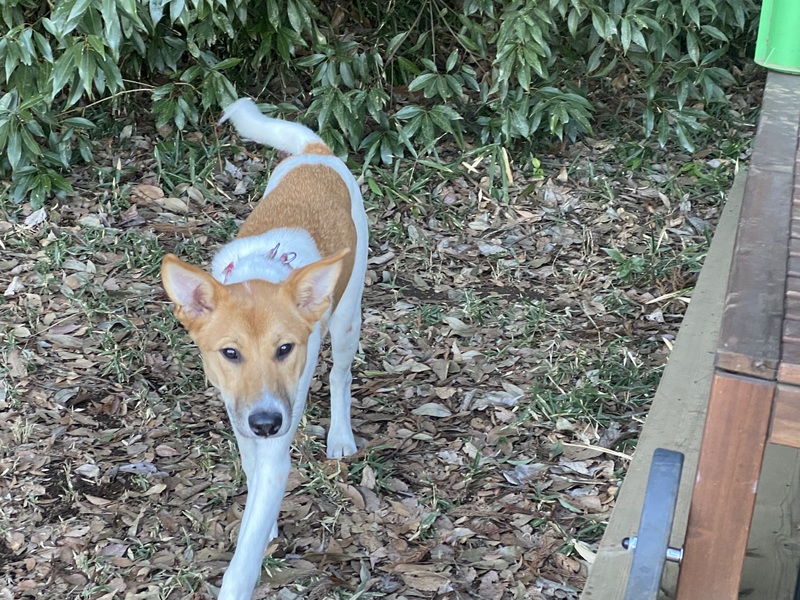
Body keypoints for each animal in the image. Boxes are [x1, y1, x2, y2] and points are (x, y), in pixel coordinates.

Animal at [160, 98, 368, 599]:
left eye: (285, 348)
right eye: (230, 353)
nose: (268, 423)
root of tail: (315, 152)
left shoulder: (274, 439)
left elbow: (244, 559)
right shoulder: (239, 414)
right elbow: (251, 469)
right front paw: (264, 515)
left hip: (347, 317)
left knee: (340, 375)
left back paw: (340, 435)